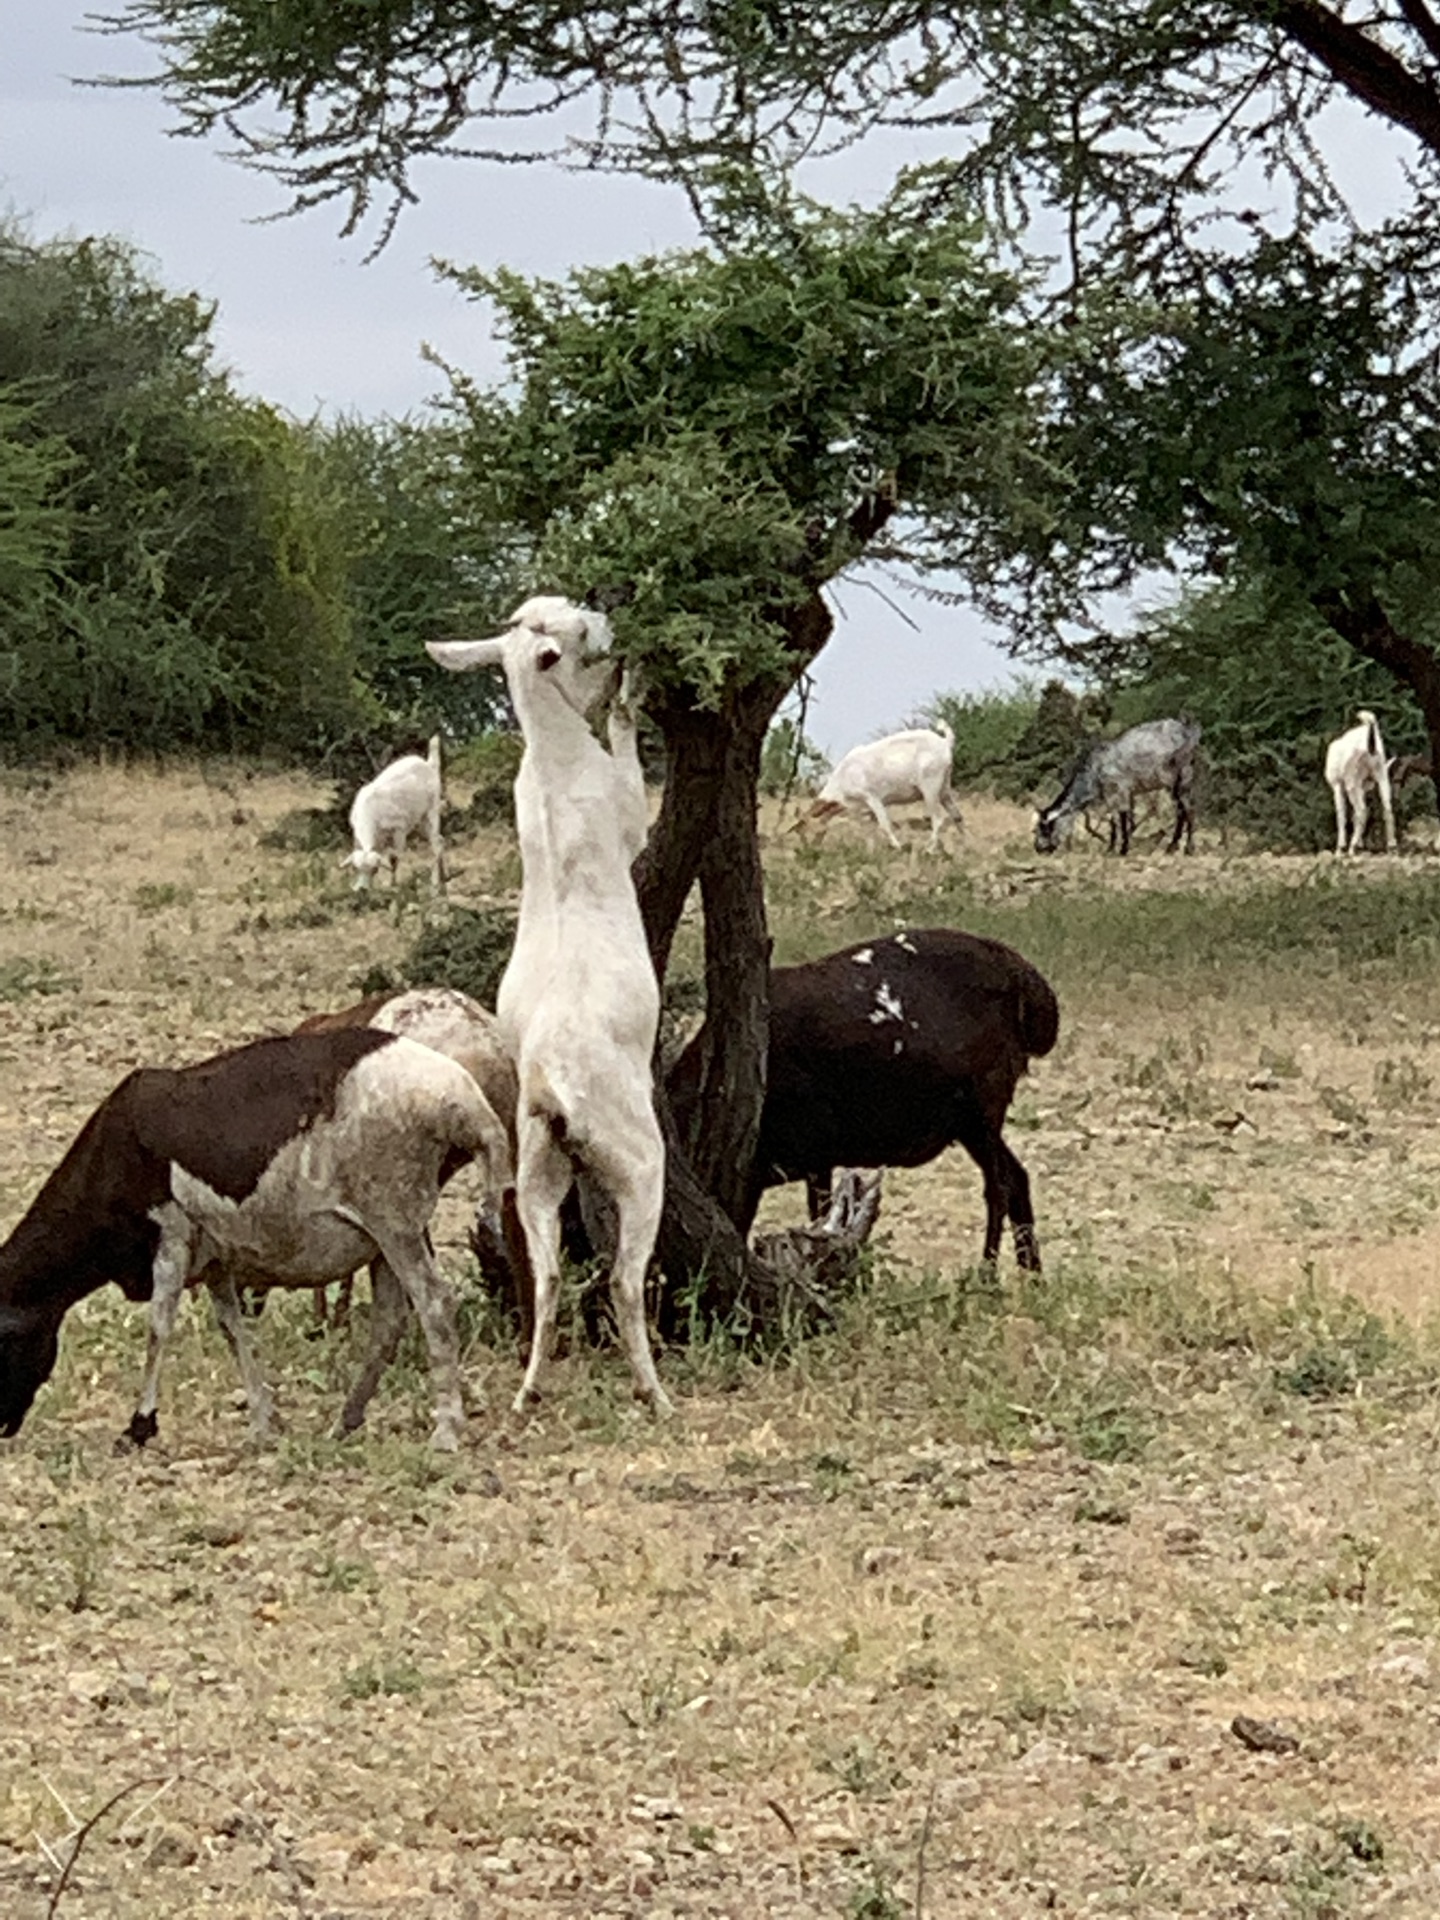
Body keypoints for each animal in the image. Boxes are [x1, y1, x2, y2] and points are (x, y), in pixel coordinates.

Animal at [428, 591, 675, 1420]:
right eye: (576, 629)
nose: (614, 625)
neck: (552, 757)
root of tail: (554, 1090)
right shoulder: (626, 810)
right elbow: (626, 744)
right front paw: (633, 689)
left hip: (535, 1175)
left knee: (547, 1276)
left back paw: (529, 1389)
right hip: (641, 1166)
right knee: (624, 1280)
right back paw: (654, 1393)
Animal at [668, 929, 1059, 1274]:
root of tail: (1028, 982)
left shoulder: (816, 1152)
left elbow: (819, 1216)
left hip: (983, 1105)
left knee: (999, 1187)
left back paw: (987, 1277)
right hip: (969, 1124)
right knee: (1017, 1178)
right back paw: (1032, 1276)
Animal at [1328, 710, 1397, 852]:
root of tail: (1371, 746)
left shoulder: (1337, 784)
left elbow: (1341, 815)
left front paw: (1340, 848)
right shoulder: (1363, 786)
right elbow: (1353, 816)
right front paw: (1359, 844)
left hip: (1352, 782)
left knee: (1362, 811)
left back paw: (1351, 847)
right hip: (1381, 776)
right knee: (1387, 808)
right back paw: (1392, 845)